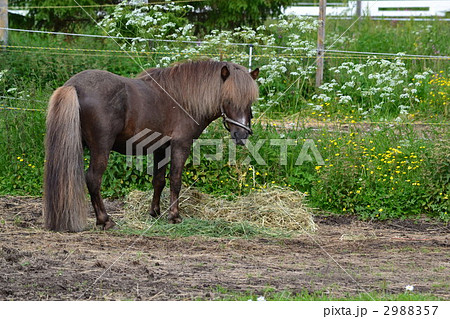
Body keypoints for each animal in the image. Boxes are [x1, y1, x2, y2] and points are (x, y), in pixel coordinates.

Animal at [44, 59, 260, 232]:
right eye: (228, 100)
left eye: (250, 101)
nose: (241, 135)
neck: (181, 100)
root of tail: (73, 86)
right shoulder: (181, 145)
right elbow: (175, 180)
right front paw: (174, 216)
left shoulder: (161, 149)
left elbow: (159, 180)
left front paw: (155, 212)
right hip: (100, 149)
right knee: (93, 179)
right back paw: (105, 220)